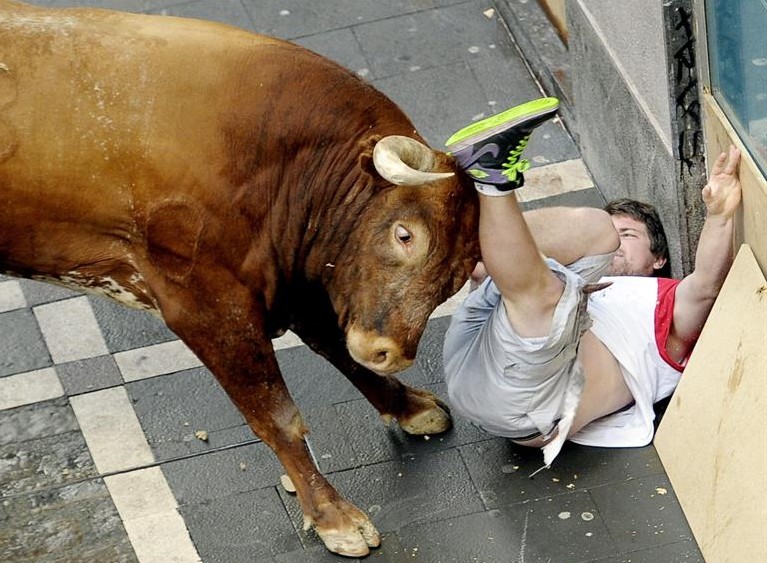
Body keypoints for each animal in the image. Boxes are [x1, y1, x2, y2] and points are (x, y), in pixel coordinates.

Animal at [0, 0, 480, 556]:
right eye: (405, 235)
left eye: (456, 277)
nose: (392, 352)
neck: (275, 162)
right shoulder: (207, 306)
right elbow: (278, 416)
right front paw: (335, 517)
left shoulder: (296, 285)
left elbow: (337, 348)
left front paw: (407, 406)